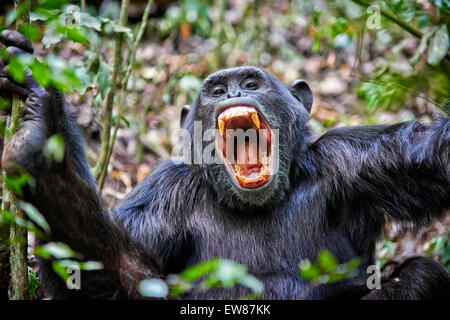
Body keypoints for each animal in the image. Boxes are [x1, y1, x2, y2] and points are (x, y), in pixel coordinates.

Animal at [0, 30, 450, 300]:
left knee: (422, 275)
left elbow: (433, 158)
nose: (232, 91)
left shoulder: (356, 160)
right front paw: (47, 145)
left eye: (251, 83)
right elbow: (123, 272)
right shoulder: (163, 195)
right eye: (216, 91)